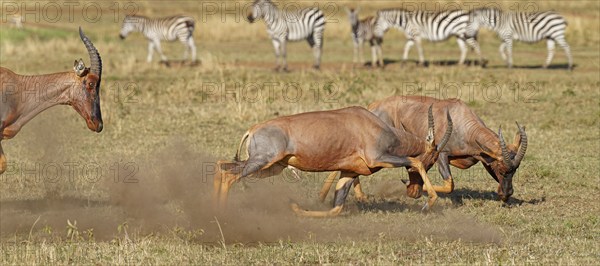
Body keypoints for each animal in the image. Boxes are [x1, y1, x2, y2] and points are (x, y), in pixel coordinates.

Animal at [211, 105, 450, 217]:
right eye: (431, 158)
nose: (414, 192)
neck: (371, 123)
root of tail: (252, 129)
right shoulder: (379, 157)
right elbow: (413, 161)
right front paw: (429, 203)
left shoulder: (349, 173)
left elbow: (336, 208)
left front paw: (297, 209)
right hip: (261, 162)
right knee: (229, 175)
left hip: (270, 168)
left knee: (221, 165)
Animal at [322, 96, 528, 203]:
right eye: (501, 168)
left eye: (514, 169)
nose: (506, 194)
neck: (460, 120)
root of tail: (372, 107)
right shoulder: (442, 155)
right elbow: (450, 184)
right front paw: (411, 187)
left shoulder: (482, 157)